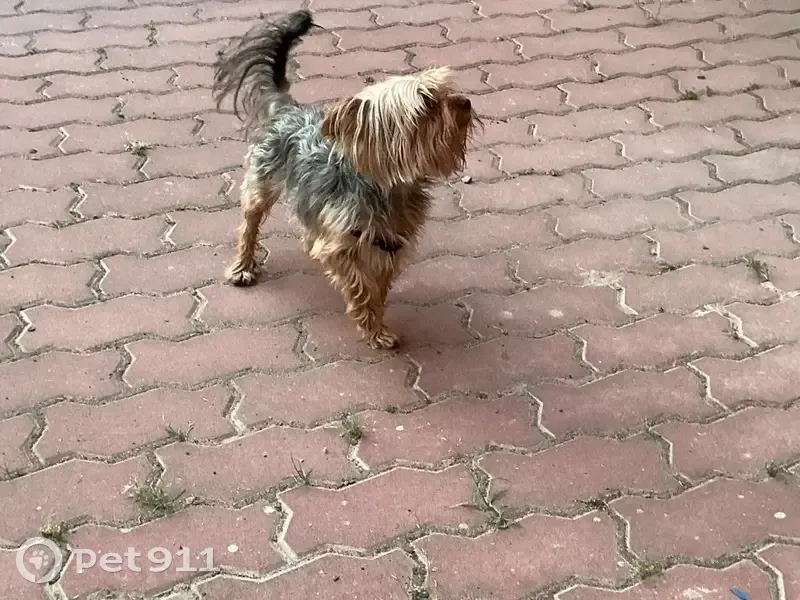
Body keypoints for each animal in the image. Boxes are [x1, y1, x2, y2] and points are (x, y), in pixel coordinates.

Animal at [212, 10, 479, 349]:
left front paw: (377, 324)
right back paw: (243, 267)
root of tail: (288, 110)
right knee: (250, 221)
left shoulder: (391, 245)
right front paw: (371, 326)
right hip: (262, 180)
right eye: (427, 103)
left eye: (444, 90)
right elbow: (361, 285)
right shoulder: (339, 246)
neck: (388, 190)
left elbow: (380, 286)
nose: (465, 102)